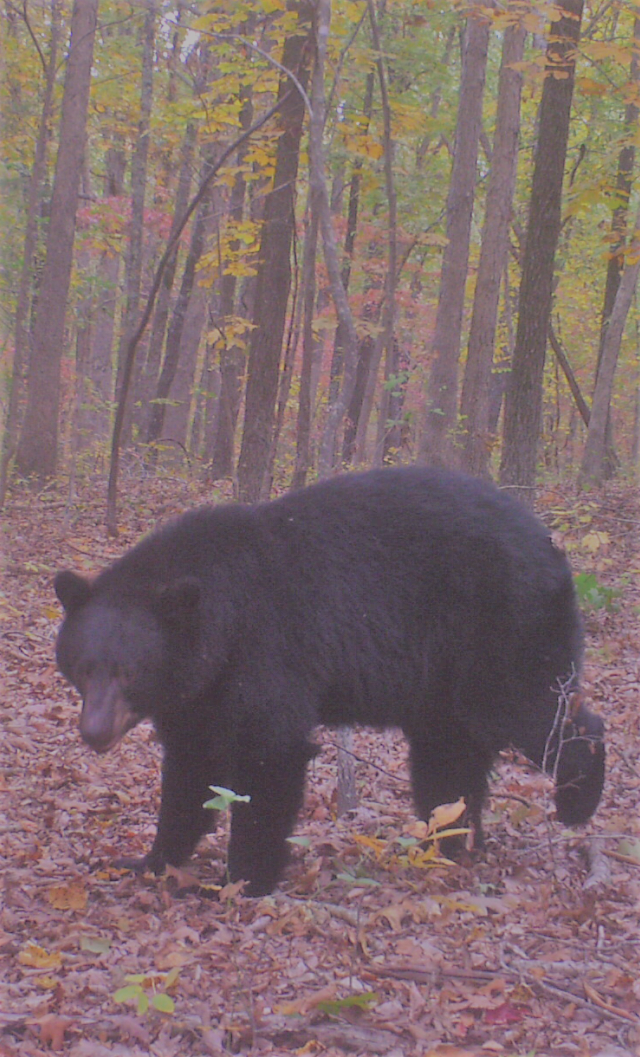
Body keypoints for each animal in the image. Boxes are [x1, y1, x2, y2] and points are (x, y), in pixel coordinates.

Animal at [55, 469, 605, 892]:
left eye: (130, 671)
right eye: (83, 666)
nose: (94, 732)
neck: (220, 618)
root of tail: (551, 543)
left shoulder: (265, 650)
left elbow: (269, 757)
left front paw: (242, 880)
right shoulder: (197, 695)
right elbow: (189, 773)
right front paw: (148, 861)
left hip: (502, 630)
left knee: (540, 713)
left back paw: (576, 801)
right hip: (443, 682)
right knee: (449, 756)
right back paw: (450, 838)